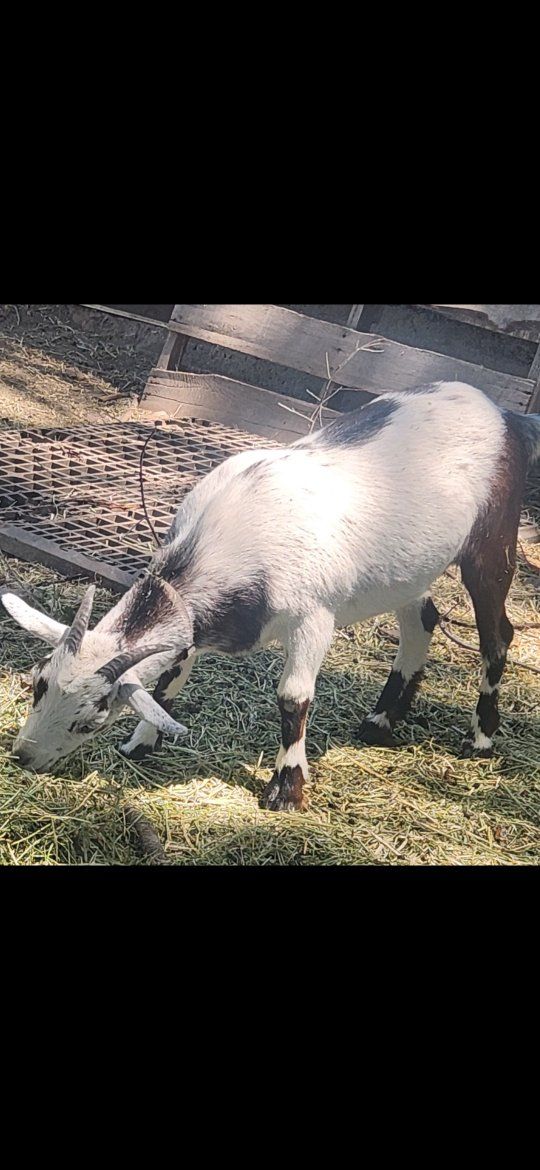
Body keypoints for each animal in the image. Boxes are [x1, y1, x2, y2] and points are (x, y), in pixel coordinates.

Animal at [2, 381, 539, 811]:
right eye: (37, 684)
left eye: (90, 720)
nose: (24, 756)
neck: (229, 532)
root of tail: (502, 413)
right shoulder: (194, 622)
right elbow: (168, 681)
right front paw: (142, 742)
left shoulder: (313, 617)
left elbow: (292, 699)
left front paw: (286, 791)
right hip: (409, 567)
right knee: (422, 618)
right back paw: (380, 721)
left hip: (492, 541)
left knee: (498, 633)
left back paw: (480, 738)